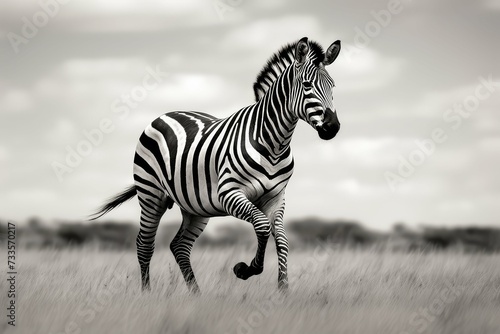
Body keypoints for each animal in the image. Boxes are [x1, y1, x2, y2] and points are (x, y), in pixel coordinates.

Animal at [91, 37, 340, 292]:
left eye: (333, 86)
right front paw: (245, 269)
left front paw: (283, 290)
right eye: (307, 85)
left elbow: (281, 240)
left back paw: (196, 294)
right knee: (144, 244)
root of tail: (166, 114)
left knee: (179, 246)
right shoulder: (229, 193)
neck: (273, 144)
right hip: (151, 194)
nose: (333, 127)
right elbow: (262, 226)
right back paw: (147, 293)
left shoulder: (276, 197)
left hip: (194, 206)